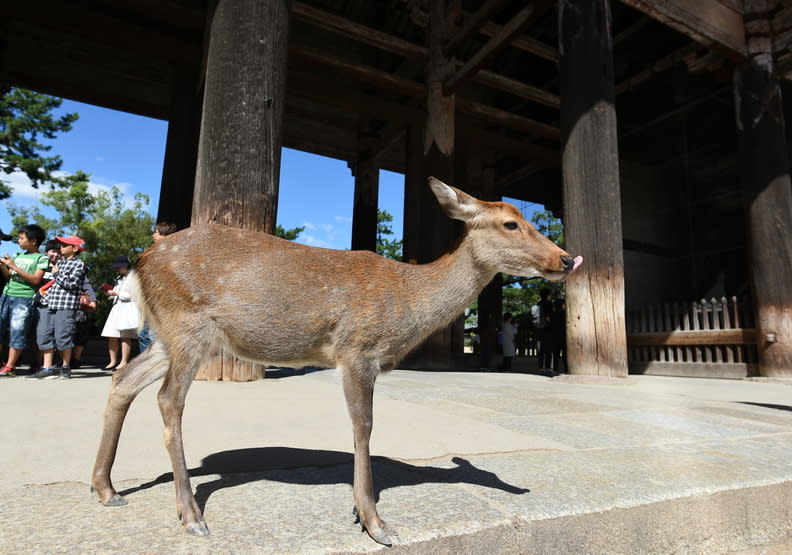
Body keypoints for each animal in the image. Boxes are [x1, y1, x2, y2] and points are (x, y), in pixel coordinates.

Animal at [91, 179, 580, 548]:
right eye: (510, 222)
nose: (566, 258)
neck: (408, 301)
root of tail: (141, 265)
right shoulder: (357, 348)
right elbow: (363, 425)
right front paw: (375, 522)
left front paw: (365, 514)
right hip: (187, 325)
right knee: (168, 399)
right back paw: (191, 515)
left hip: (169, 337)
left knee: (124, 380)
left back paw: (106, 489)